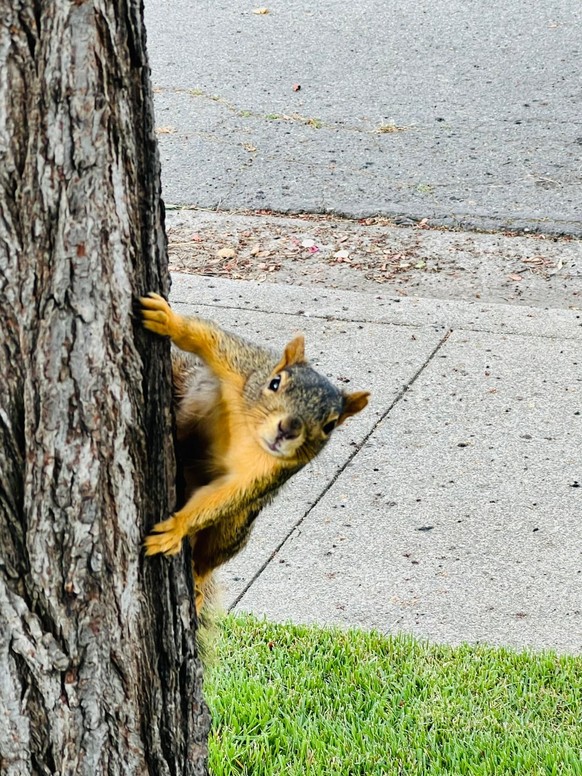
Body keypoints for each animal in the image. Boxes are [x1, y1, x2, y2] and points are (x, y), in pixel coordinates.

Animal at [140, 292, 369, 612]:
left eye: (330, 425)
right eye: (275, 381)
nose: (288, 428)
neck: (249, 434)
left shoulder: (265, 474)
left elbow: (225, 495)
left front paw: (176, 527)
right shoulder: (241, 367)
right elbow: (208, 337)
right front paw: (168, 319)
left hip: (235, 527)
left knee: (210, 558)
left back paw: (196, 584)